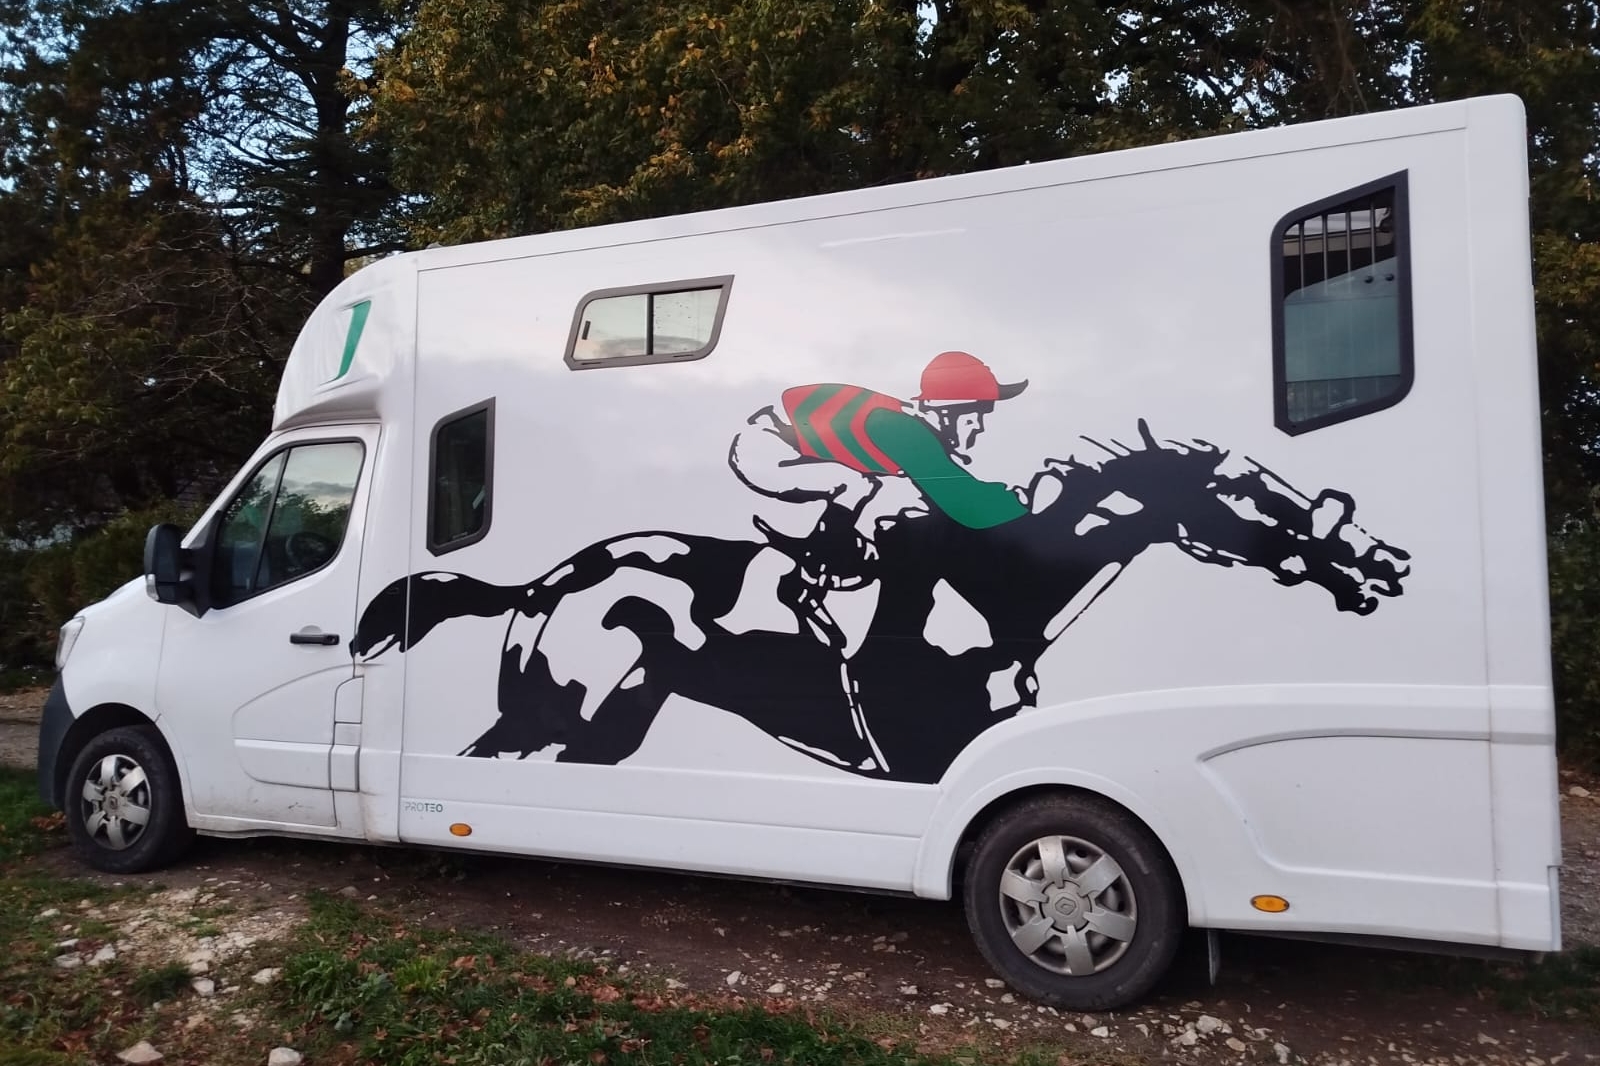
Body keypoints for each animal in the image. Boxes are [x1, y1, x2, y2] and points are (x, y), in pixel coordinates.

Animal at [352, 419, 1410, 785]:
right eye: (1262, 498)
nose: (1384, 564)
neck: (994, 588)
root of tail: (544, 580)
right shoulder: (918, 759)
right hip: (551, 715)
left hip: (606, 730)